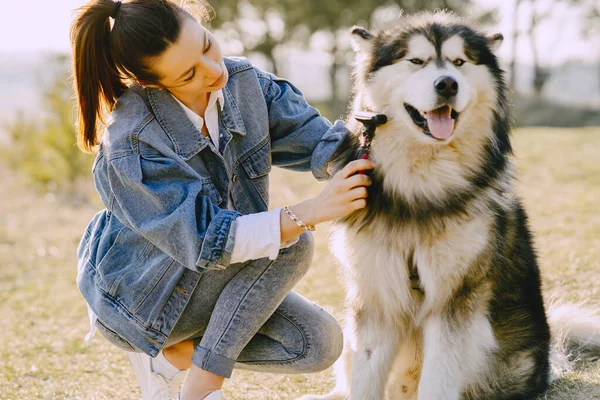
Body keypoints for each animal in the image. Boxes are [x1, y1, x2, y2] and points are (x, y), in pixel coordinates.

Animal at [298, 11, 600, 400]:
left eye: (459, 62)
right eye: (416, 61)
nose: (447, 85)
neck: (421, 187)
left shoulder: (455, 301)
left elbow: (439, 379)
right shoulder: (378, 295)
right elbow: (364, 380)